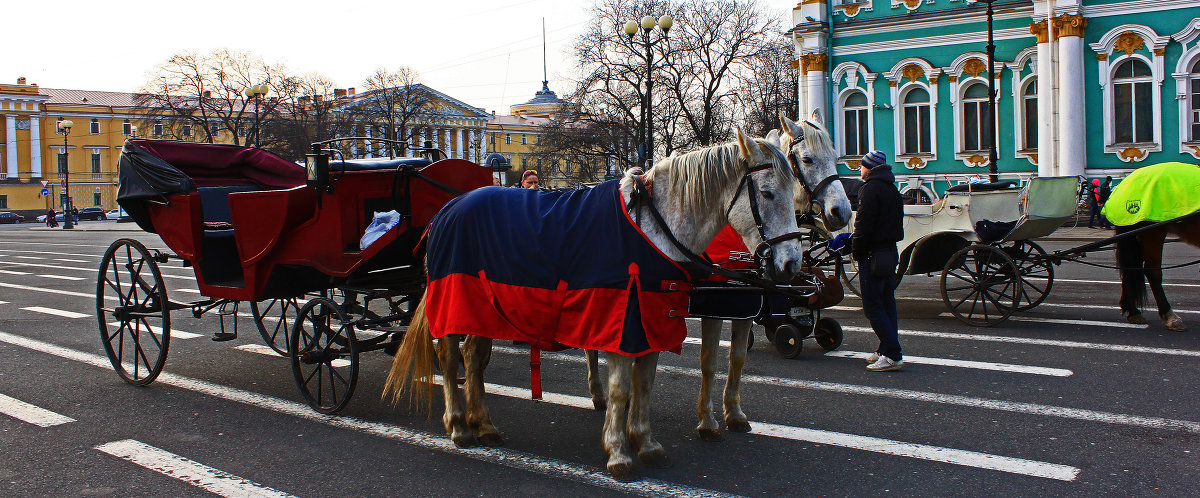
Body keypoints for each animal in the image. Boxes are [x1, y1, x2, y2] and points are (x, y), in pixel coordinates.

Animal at [384, 128, 806, 480]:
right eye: (767, 193)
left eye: (794, 189)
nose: (790, 265)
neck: (652, 230)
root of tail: (444, 212)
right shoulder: (623, 322)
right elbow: (621, 388)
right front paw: (619, 453)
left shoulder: (652, 322)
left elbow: (645, 383)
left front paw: (646, 443)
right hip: (455, 305)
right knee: (450, 358)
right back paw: (458, 425)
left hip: (486, 310)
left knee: (473, 358)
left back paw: (484, 424)